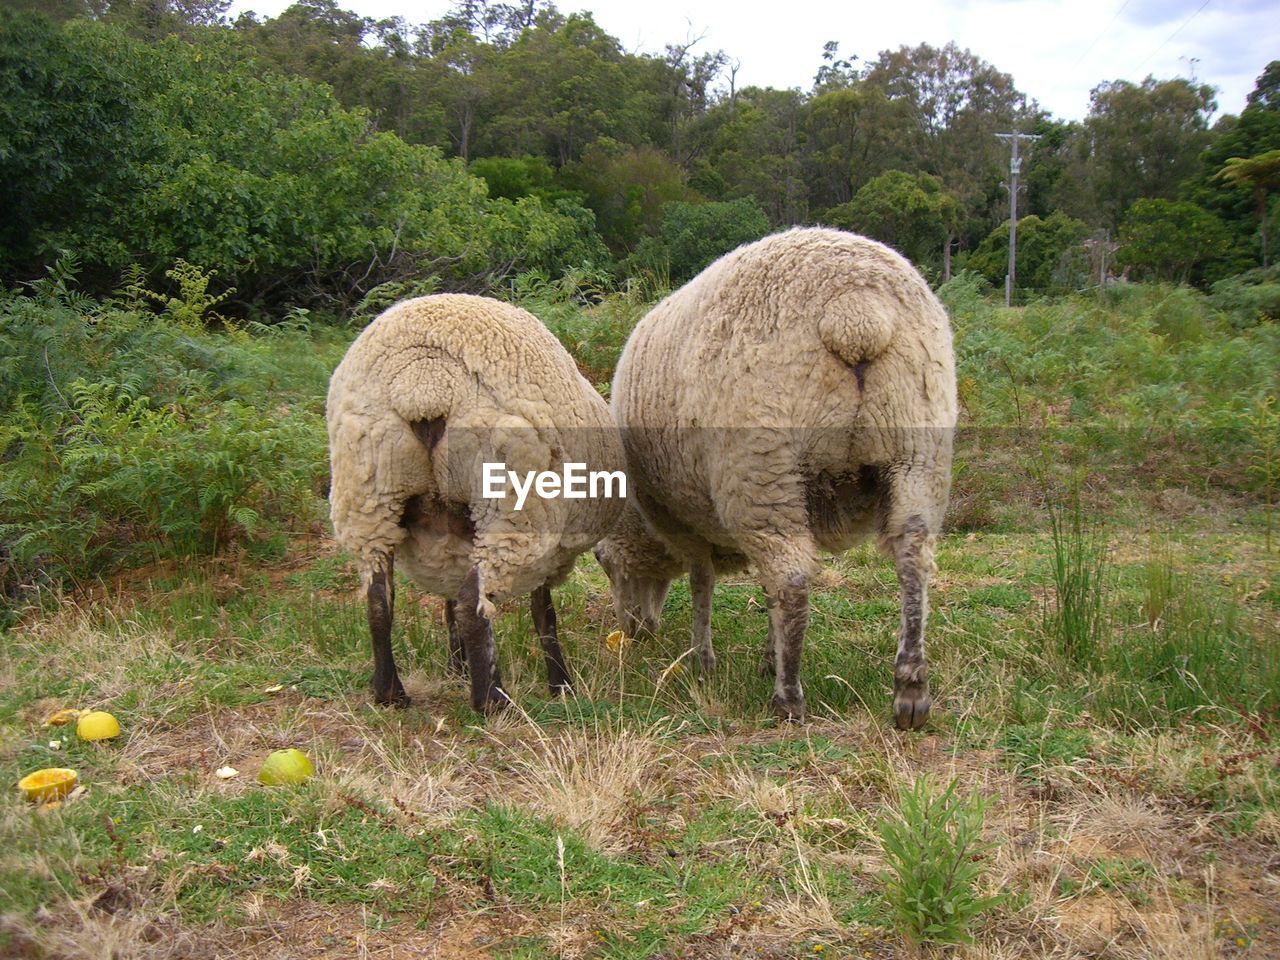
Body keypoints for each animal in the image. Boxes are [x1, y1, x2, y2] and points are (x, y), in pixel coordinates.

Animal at [327, 293, 627, 716]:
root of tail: (423, 385)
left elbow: (448, 602)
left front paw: (457, 667)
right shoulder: (546, 541)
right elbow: (543, 614)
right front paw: (560, 684)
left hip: (369, 498)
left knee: (378, 600)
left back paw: (390, 692)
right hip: (511, 507)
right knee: (473, 604)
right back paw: (492, 700)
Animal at [593, 229, 957, 727]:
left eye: (602, 561)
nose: (634, 631)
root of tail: (856, 311)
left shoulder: (684, 521)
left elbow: (703, 583)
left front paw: (702, 659)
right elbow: (764, 592)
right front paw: (769, 654)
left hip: (761, 464)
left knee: (793, 581)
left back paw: (787, 699)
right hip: (916, 453)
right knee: (913, 562)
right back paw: (910, 690)